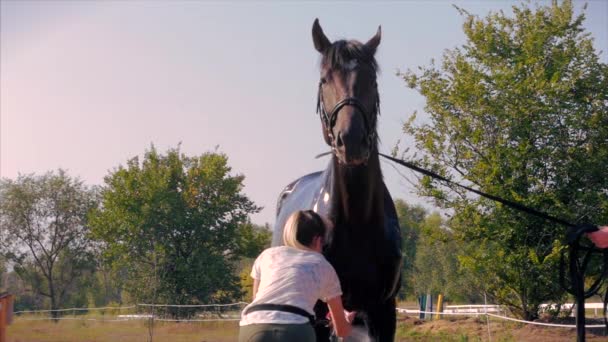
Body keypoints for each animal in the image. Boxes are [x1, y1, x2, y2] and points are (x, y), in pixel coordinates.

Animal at [274, 20, 402, 340]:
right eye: (324, 80)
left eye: (372, 80)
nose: (351, 140)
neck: (357, 222)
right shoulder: (319, 310)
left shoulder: (383, 310)